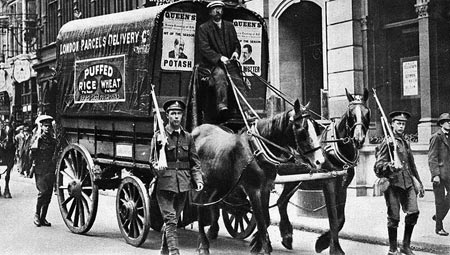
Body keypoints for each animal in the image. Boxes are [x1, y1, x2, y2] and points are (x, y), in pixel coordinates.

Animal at [192, 100, 326, 255]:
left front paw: (257, 245)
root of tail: (195, 131)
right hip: (204, 183)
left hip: (219, 183)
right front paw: (265, 247)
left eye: (315, 128)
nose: (319, 161)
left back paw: (210, 233)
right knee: (200, 207)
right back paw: (203, 244)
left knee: (210, 203)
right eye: (302, 129)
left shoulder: (266, 187)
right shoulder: (252, 189)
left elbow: (266, 218)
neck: (256, 150)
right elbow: (261, 222)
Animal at [276, 88, 370, 254]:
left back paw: (287, 237)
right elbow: (332, 216)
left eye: (367, 112)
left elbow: (340, 218)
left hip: (293, 181)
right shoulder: (329, 184)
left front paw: (322, 242)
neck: (335, 147)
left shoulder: (343, 186)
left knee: (281, 202)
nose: (358, 139)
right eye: (351, 113)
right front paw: (335, 248)